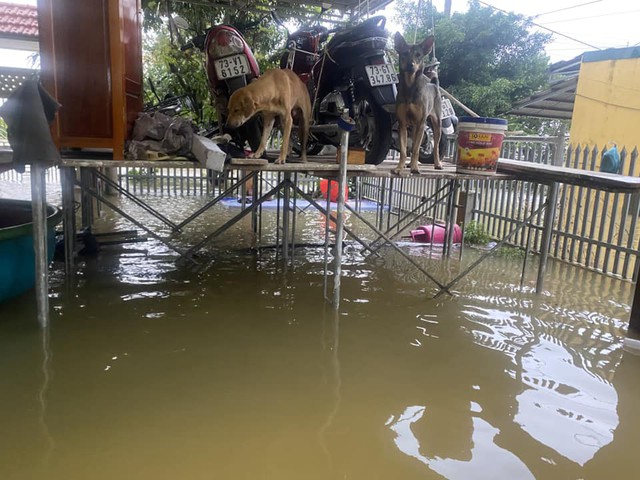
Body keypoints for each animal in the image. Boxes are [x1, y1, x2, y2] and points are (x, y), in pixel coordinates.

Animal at [392, 32, 442, 173]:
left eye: (418, 55)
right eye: (404, 53)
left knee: (435, 146)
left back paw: (437, 164)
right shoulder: (402, 123)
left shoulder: (421, 123)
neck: (410, 87)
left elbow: (415, 150)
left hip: (437, 124)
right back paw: (408, 164)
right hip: (414, 127)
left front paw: (415, 167)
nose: (411, 64)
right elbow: (404, 150)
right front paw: (399, 167)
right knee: (414, 143)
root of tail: (434, 85)